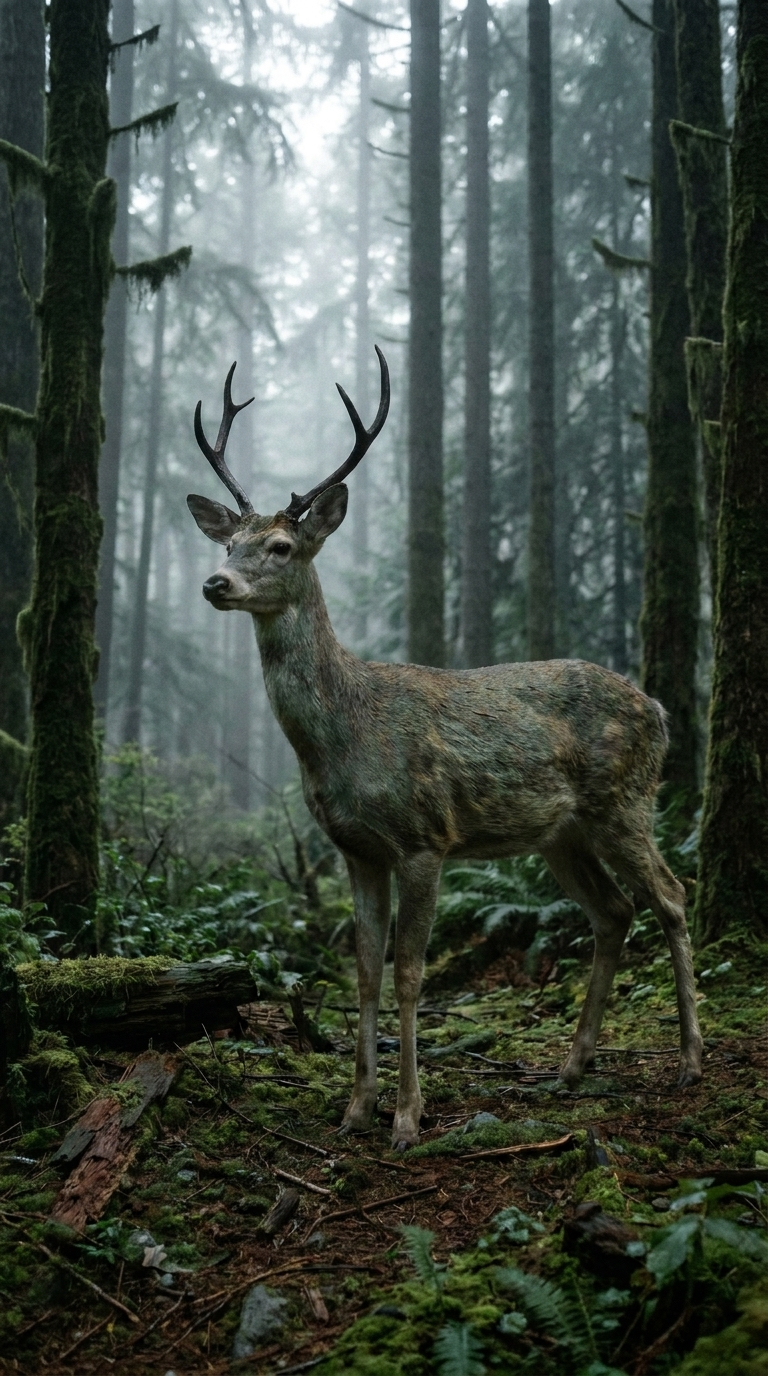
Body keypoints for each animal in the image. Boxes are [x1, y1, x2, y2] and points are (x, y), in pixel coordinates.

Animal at [187, 348, 703, 1150]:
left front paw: (407, 1117)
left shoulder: (425, 836)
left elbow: (409, 973)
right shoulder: (356, 849)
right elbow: (365, 973)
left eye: (279, 546)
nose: (216, 582)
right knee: (614, 911)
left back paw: (688, 1060)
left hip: (625, 800)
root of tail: (656, 708)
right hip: (562, 831)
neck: (345, 735)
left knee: (673, 898)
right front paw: (355, 1109)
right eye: (226, 542)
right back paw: (571, 1067)